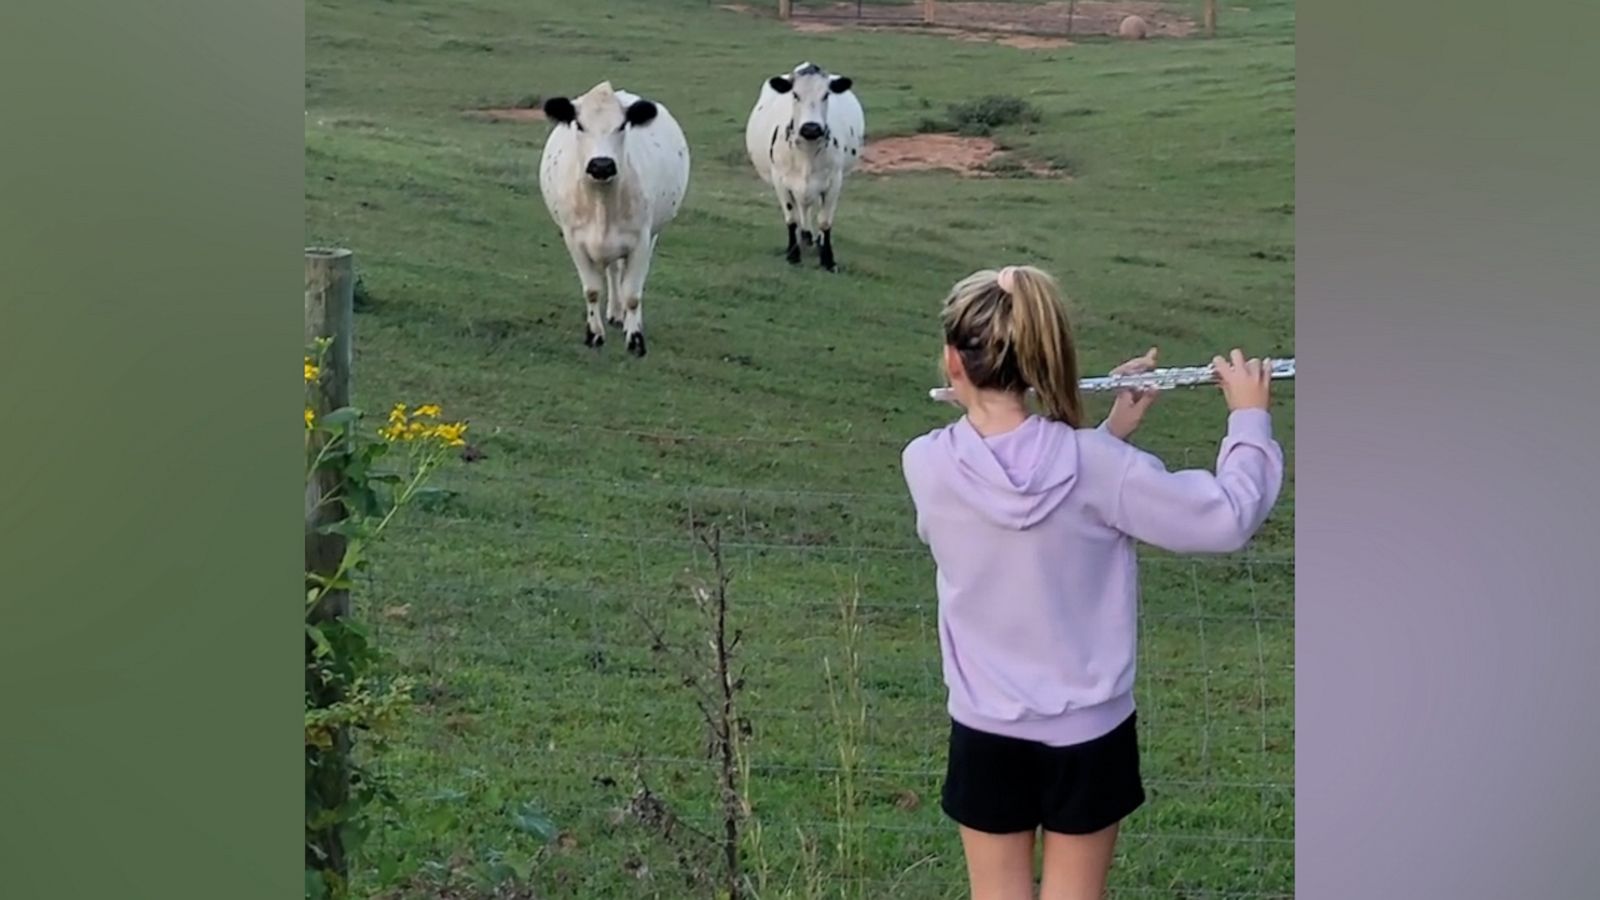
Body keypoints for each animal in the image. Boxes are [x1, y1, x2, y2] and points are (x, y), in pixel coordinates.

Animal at [745, 61, 870, 272]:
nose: (811, 128)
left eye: (826, 95)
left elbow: (825, 221)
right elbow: (791, 218)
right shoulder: (781, 181)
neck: (807, 152)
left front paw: (828, 259)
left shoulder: (834, 181)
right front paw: (793, 255)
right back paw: (804, 238)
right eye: (795, 94)